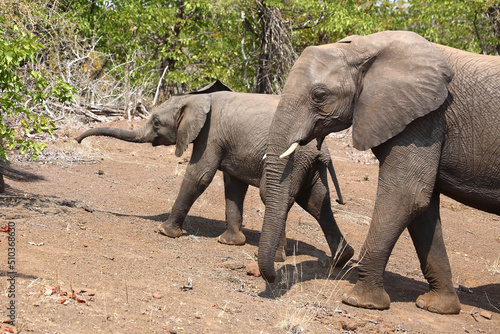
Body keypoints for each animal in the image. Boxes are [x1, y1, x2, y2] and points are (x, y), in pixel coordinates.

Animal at [76, 81, 354, 266]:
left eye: (155, 122)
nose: (77, 140)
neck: (196, 99)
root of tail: (323, 149)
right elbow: (234, 187)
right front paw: (230, 242)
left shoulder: (211, 134)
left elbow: (199, 176)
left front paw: (165, 232)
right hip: (309, 166)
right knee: (316, 202)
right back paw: (343, 259)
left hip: (292, 161)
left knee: (274, 196)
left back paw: (274, 258)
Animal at [260, 30, 500, 314]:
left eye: (319, 95)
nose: (273, 277)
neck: (364, 48)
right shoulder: (420, 117)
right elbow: (423, 208)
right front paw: (436, 307)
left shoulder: (425, 118)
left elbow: (406, 196)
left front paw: (360, 302)